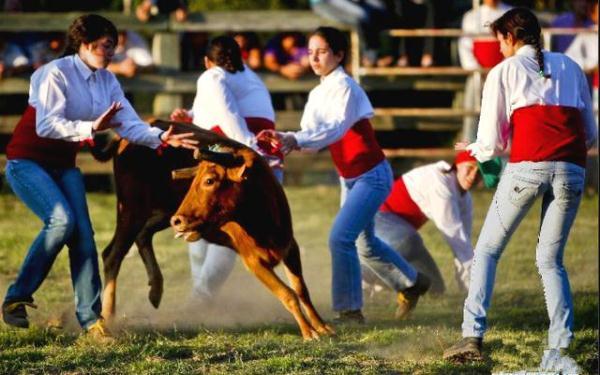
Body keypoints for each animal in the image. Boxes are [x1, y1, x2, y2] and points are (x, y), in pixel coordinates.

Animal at [171, 145, 336, 340]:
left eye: (209, 180)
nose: (176, 221)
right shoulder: (253, 262)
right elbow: (287, 294)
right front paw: (308, 331)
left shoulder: (290, 248)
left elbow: (301, 289)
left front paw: (321, 326)